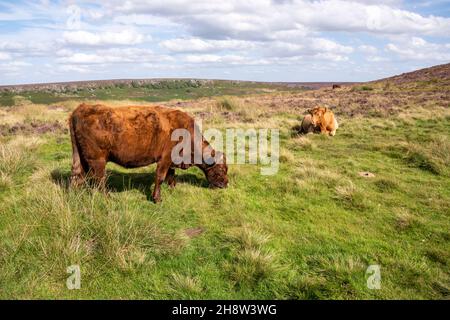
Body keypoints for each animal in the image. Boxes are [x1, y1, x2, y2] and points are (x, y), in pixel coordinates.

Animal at [70, 103, 229, 202]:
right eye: (221, 169)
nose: (226, 184)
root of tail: (81, 108)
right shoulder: (164, 159)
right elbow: (160, 177)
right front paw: (157, 198)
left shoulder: (171, 161)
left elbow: (171, 175)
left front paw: (172, 188)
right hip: (97, 161)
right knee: (99, 180)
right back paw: (108, 198)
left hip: (81, 159)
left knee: (77, 176)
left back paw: (76, 198)